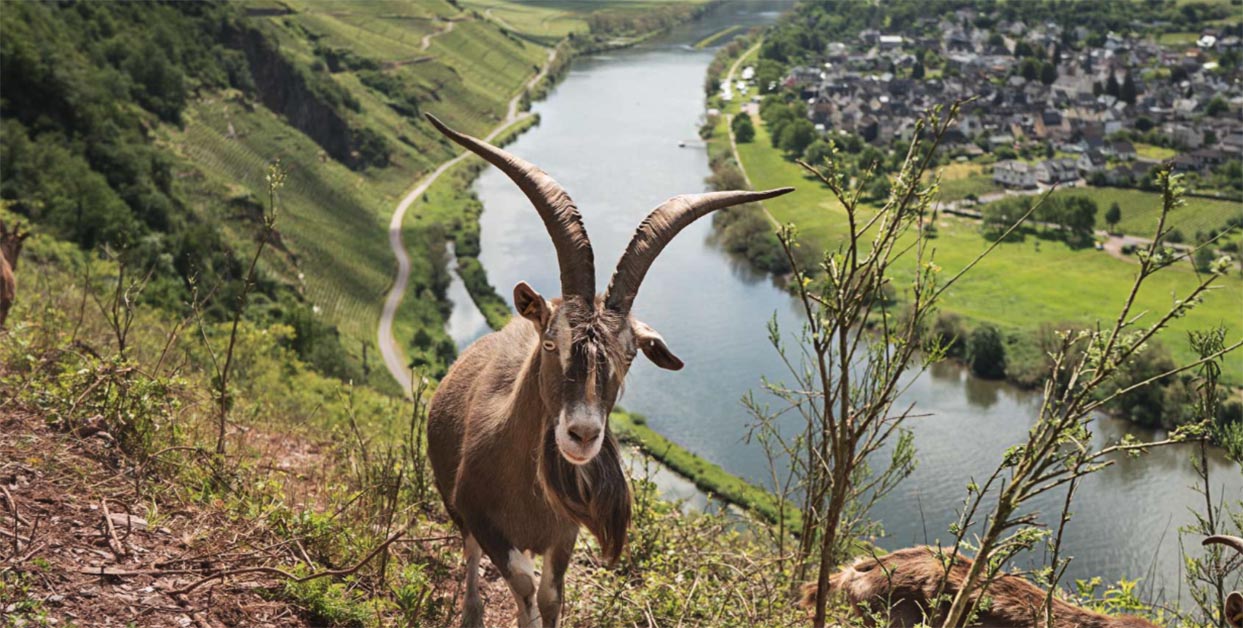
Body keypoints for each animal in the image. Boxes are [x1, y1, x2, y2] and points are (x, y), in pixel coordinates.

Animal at [425, 112, 795, 626]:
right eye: (550, 342)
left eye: (629, 355)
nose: (582, 435)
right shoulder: (479, 516)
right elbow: (521, 585)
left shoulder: (563, 534)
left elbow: (548, 596)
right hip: (458, 511)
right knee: (473, 560)